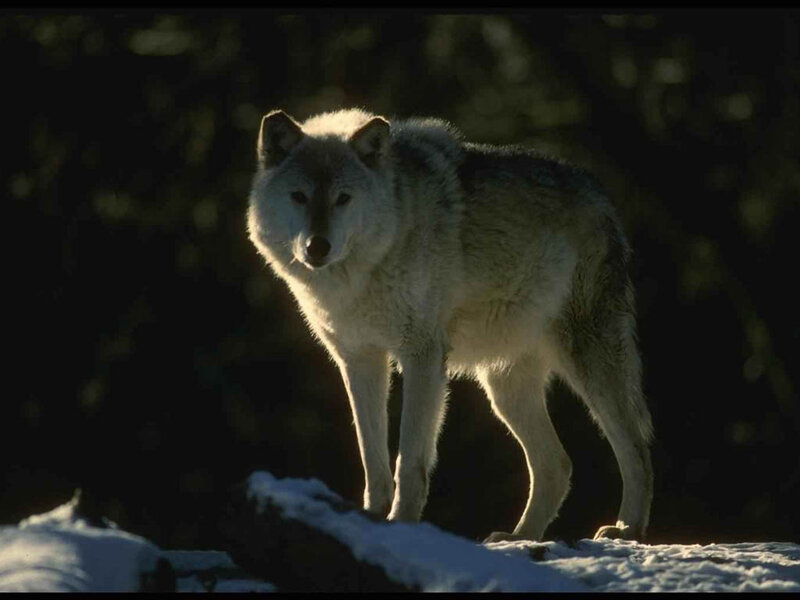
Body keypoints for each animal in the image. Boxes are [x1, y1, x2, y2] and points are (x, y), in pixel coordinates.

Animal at [247, 108, 654, 543]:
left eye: (343, 198)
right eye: (300, 196)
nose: (317, 247)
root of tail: (601, 195)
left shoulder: (422, 355)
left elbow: (409, 461)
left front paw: (402, 524)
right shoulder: (359, 360)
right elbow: (372, 458)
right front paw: (369, 520)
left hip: (589, 367)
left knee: (636, 447)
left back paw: (626, 529)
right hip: (504, 388)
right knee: (556, 465)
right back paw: (519, 536)